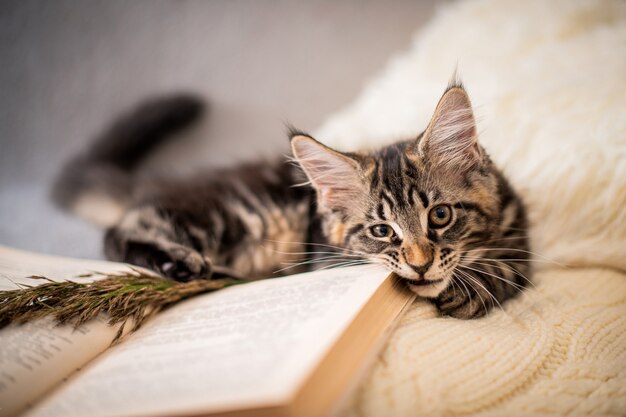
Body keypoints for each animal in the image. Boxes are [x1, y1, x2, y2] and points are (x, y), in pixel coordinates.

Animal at [54, 82, 532, 318]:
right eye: (382, 231)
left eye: (441, 215)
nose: (418, 265)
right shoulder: (324, 258)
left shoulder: (519, 230)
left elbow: (512, 266)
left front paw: (475, 285)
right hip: (240, 213)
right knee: (120, 231)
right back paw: (184, 264)